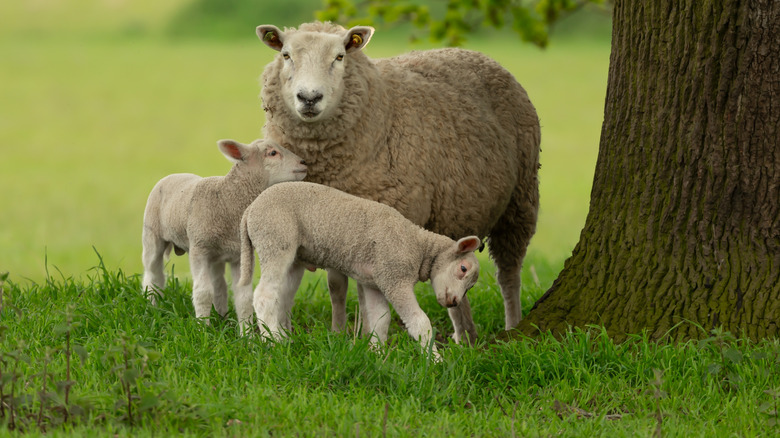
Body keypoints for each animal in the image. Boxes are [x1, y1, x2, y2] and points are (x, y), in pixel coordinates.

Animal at [142, 139, 306, 330]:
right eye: (272, 153)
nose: (304, 163)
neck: (225, 200)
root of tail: (173, 175)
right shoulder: (199, 249)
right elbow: (203, 292)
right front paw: (202, 329)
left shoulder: (240, 255)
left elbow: (243, 297)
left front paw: (247, 334)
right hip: (152, 235)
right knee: (153, 274)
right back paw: (152, 306)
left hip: (216, 256)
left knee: (219, 285)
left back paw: (221, 317)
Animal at [238, 181, 482, 356]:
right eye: (462, 268)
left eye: (471, 286)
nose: (454, 302)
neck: (418, 247)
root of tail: (249, 210)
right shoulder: (394, 278)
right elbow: (420, 322)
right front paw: (435, 361)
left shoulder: (374, 282)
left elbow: (380, 320)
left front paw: (377, 355)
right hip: (275, 240)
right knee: (264, 296)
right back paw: (274, 342)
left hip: (291, 256)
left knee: (274, 297)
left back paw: (275, 337)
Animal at [258, 20, 540, 342]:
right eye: (286, 54)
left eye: (340, 56)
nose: (309, 98)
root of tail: (476, 53)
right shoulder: (332, 222)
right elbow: (336, 285)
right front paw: (339, 332)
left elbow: (364, 290)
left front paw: (364, 335)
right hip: (456, 215)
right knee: (456, 276)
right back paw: (465, 336)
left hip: (521, 201)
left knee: (509, 273)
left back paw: (513, 326)